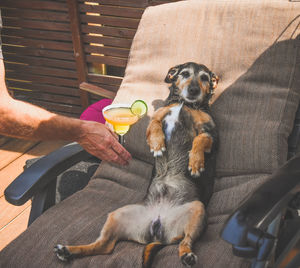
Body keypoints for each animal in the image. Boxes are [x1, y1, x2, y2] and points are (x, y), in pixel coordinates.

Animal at [54, 62, 218, 268]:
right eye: (185, 74)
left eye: (204, 78)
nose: (194, 90)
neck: (185, 104)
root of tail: (158, 227)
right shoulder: (155, 118)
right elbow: (155, 126)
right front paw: (157, 144)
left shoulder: (210, 133)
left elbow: (200, 140)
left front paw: (195, 162)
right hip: (117, 215)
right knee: (104, 246)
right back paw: (68, 251)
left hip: (198, 210)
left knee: (185, 242)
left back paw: (187, 255)